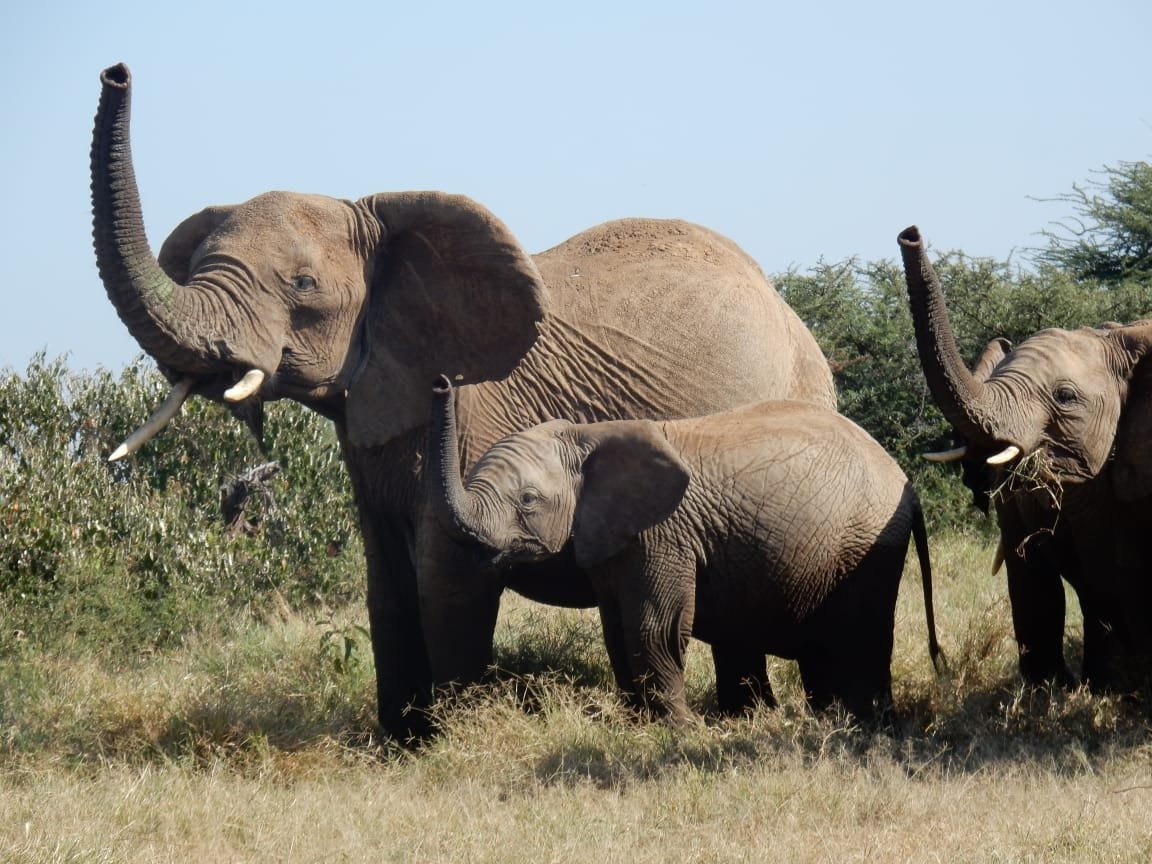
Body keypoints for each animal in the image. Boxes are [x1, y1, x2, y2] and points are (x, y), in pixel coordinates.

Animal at [89, 64, 837, 740]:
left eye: (302, 284)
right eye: (192, 268)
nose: (117, 72)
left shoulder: (475, 415)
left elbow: (448, 577)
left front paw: (451, 737)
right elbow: (387, 586)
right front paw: (398, 746)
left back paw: (742, 717)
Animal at [427, 377, 942, 724]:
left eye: (528, 501)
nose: (442, 381)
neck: (588, 436)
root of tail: (905, 483)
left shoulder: (662, 533)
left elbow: (656, 627)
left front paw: (680, 729)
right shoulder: (614, 537)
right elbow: (617, 630)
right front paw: (639, 725)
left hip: (870, 543)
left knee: (863, 632)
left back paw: (866, 722)